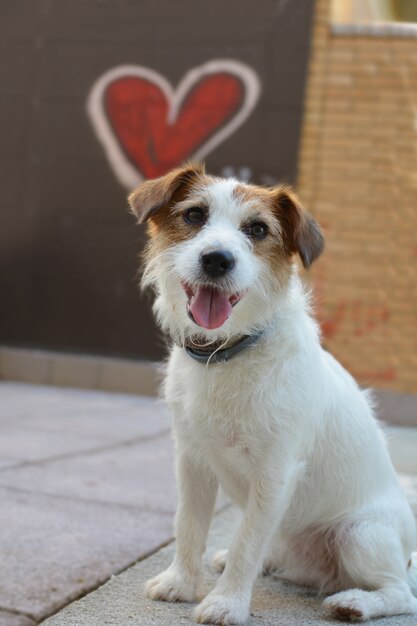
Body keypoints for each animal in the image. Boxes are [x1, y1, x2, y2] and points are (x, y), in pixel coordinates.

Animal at [129, 161, 416, 620]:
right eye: (194, 215)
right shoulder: (192, 461)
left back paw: (355, 602)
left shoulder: (274, 474)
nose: (217, 259)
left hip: (361, 535)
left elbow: (248, 543)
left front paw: (226, 603)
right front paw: (181, 582)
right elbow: (188, 526)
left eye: (258, 229)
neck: (228, 352)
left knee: (401, 594)